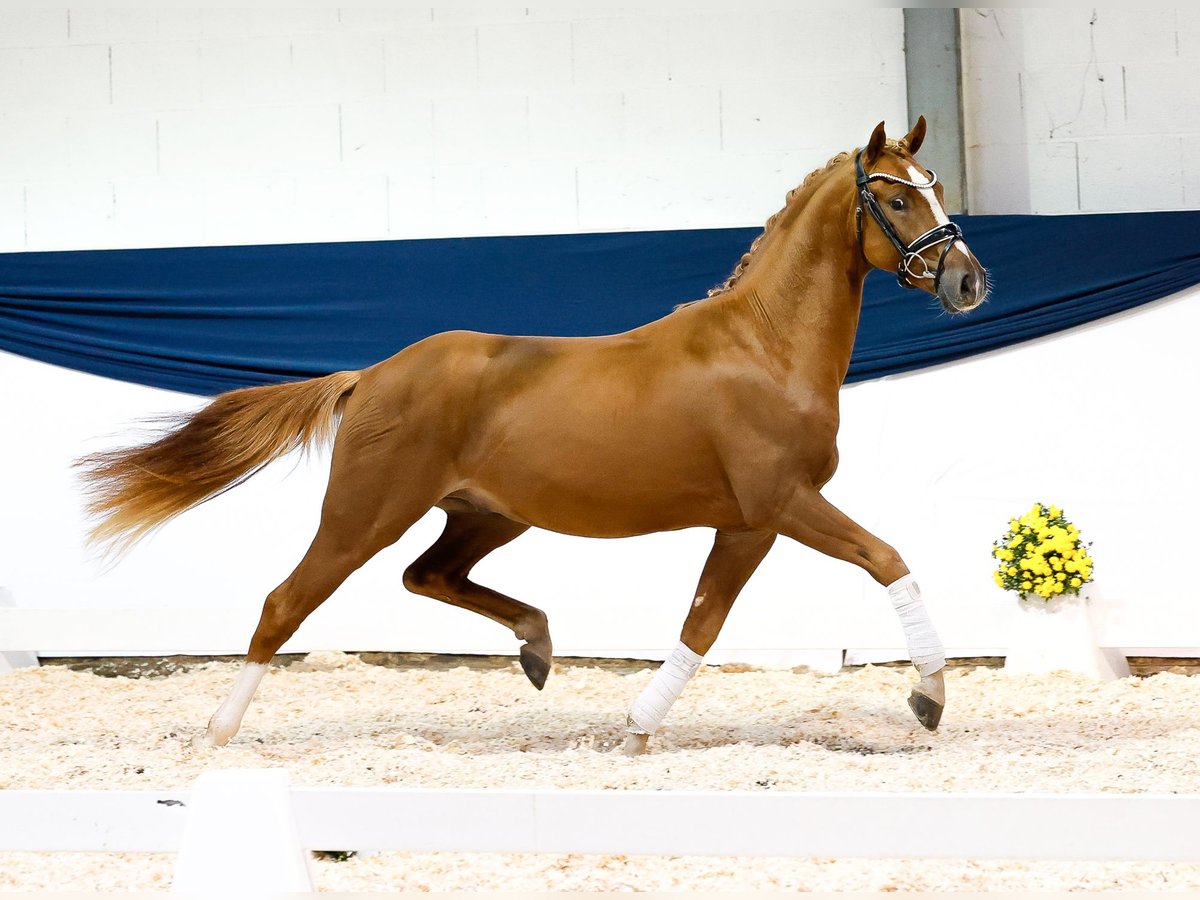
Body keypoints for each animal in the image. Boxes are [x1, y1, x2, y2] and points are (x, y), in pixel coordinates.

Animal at [79, 120, 988, 753]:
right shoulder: (781, 506)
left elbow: (701, 623)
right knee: (285, 603)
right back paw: (218, 735)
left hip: (486, 516)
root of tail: (369, 375)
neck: (763, 348)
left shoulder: (745, 524)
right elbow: (887, 562)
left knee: (428, 575)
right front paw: (929, 699)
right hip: (364, 515)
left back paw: (537, 645)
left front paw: (637, 727)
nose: (969, 281)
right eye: (897, 198)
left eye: (938, 187)